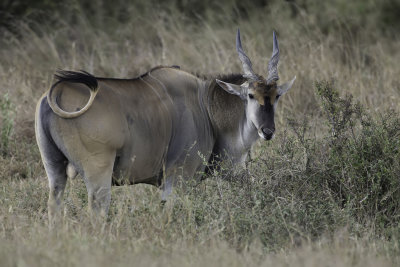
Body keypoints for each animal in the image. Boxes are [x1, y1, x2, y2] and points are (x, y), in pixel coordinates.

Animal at [35, 29, 296, 219]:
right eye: (250, 95)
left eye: (276, 96)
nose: (267, 131)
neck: (206, 105)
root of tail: (58, 92)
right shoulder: (177, 179)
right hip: (98, 174)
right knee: (97, 211)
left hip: (54, 170)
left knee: (53, 204)